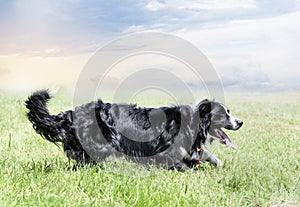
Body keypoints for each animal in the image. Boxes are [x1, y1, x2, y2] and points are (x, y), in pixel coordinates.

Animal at [24, 90, 243, 170]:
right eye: (225, 114)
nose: (240, 122)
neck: (193, 122)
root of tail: (70, 114)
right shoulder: (165, 154)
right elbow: (185, 166)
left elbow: (204, 156)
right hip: (103, 143)